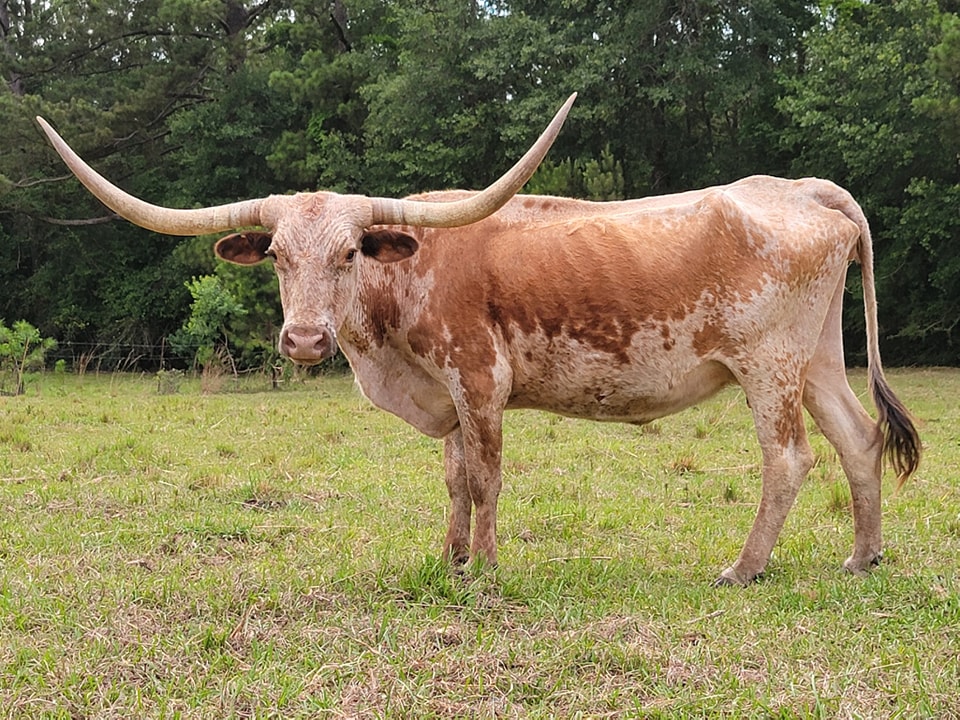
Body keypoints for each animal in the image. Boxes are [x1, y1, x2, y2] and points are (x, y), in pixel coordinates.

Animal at [37, 95, 920, 585]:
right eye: (280, 256)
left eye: (350, 252)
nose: (305, 338)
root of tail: (802, 188)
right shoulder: (445, 398)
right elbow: (456, 481)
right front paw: (451, 560)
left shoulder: (479, 382)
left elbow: (489, 478)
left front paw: (487, 572)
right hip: (816, 358)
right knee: (858, 438)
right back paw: (862, 558)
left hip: (767, 364)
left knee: (790, 458)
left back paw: (743, 568)